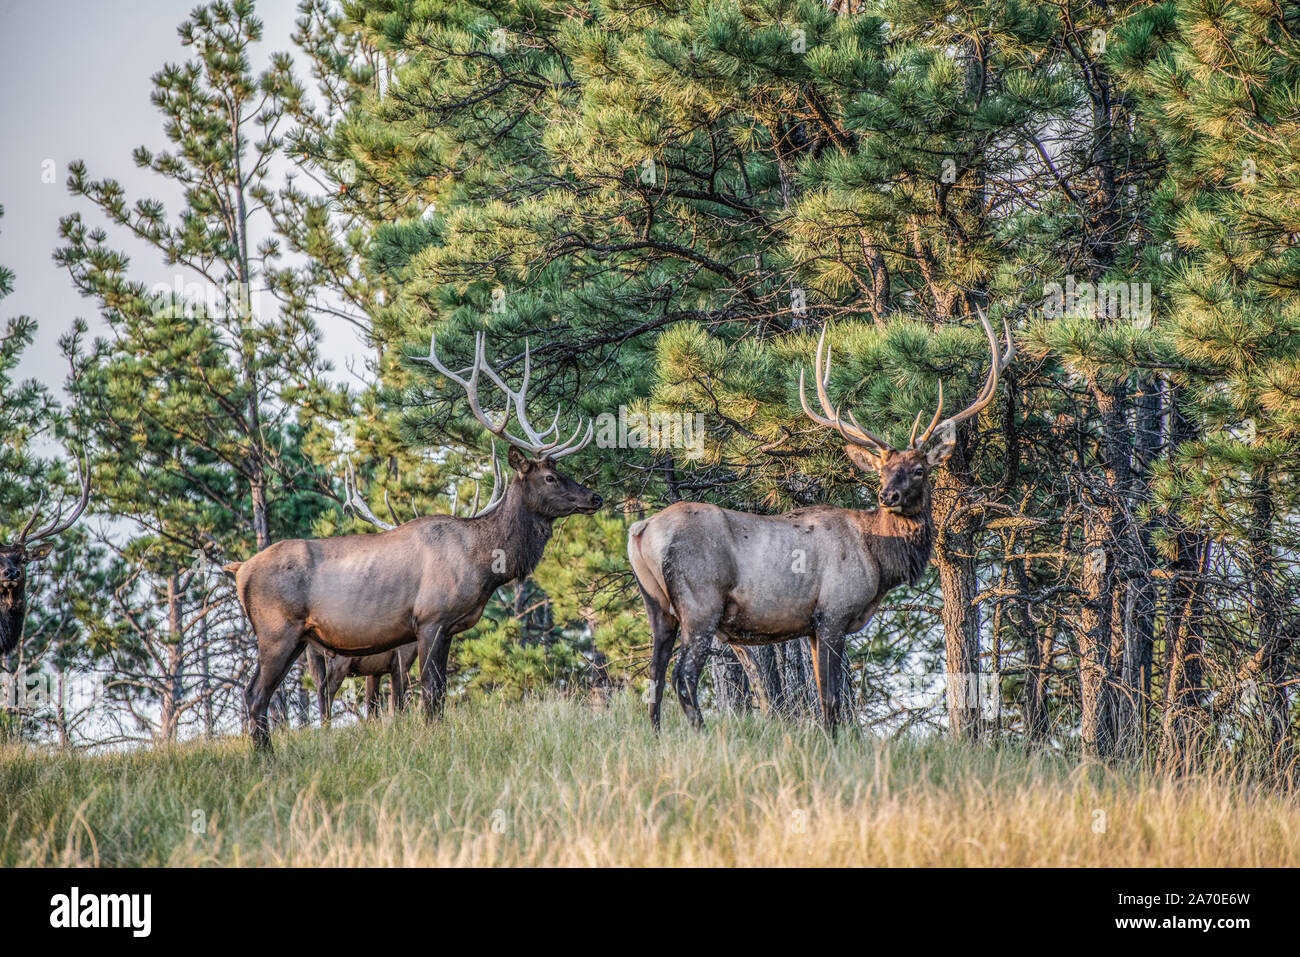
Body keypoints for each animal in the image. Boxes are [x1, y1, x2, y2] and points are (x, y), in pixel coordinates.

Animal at [224, 332, 603, 748]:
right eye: (550, 478)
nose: (595, 498)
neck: (482, 563)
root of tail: (240, 571)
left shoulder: (448, 628)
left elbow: (437, 692)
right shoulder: (430, 619)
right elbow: (430, 692)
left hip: (296, 640)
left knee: (254, 692)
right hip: (277, 631)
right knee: (257, 694)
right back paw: (265, 755)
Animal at [629, 310, 1013, 728]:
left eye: (917, 470)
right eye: (882, 471)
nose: (887, 496)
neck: (879, 559)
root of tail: (641, 530)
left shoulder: (811, 627)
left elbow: (822, 694)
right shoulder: (833, 612)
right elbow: (830, 700)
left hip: (657, 607)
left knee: (654, 676)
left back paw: (656, 733)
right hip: (701, 602)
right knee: (682, 676)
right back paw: (701, 732)